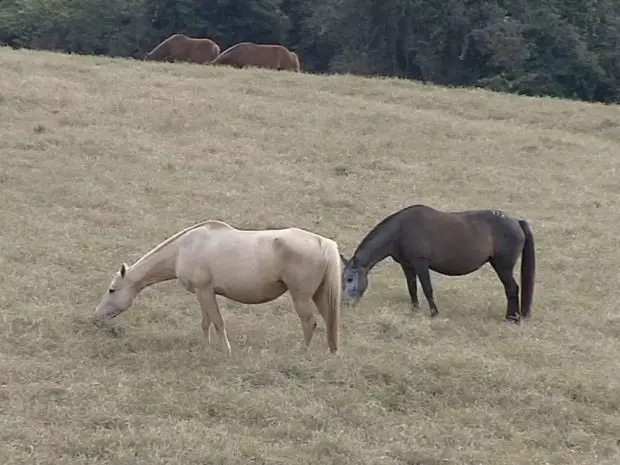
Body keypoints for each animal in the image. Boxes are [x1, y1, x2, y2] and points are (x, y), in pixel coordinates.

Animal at [94, 219, 342, 354]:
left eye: (112, 290)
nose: (96, 317)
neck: (183, 249)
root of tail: (322, 243)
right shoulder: (203, 293)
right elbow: (206, 323)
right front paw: (206, 347)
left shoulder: (204, 292)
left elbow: (217, 322)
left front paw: (226, 350)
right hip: (319, 295)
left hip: (301, 297)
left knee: (309, 323)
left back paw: (302, 351)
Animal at [336, 205, 536, 320]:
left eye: (349, 279)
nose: (345, 304)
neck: (401, 230)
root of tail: (517, 222)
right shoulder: (407, 265)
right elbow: (412, 287)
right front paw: (415, 310)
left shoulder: (421, 264)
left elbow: (427, 288)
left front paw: (433, 313)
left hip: (503, 266)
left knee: (512, 288)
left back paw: (512, 318)